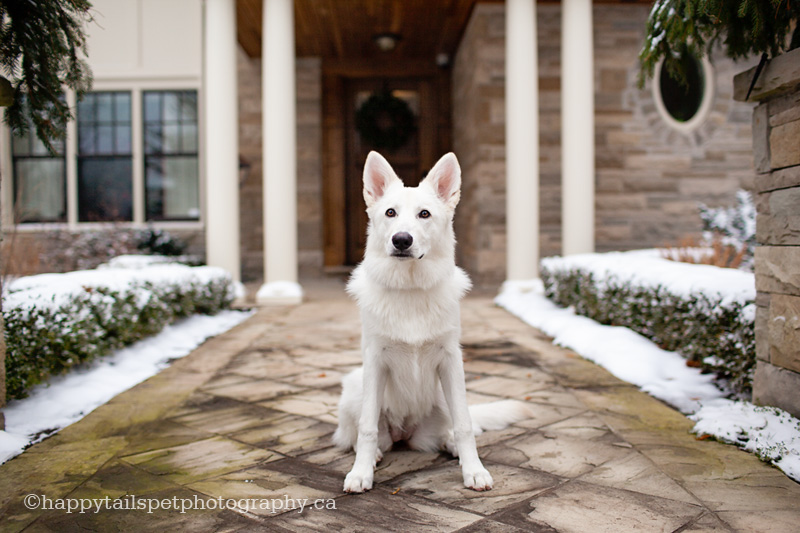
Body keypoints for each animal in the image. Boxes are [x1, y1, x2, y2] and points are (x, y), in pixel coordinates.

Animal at [332, 150, 532, 490]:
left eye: (424, 214)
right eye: (390, 213)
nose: (401, 240)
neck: (411, 289)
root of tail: (404, 433)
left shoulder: (451, 361)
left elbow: (465, 424)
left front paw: (473, 469)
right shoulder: (375, 362)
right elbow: (367, 428)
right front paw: (360, 473)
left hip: (443, 395)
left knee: (453, 428)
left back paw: (452, 445)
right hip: (356, 385)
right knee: (362, 435)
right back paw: (372, 456)